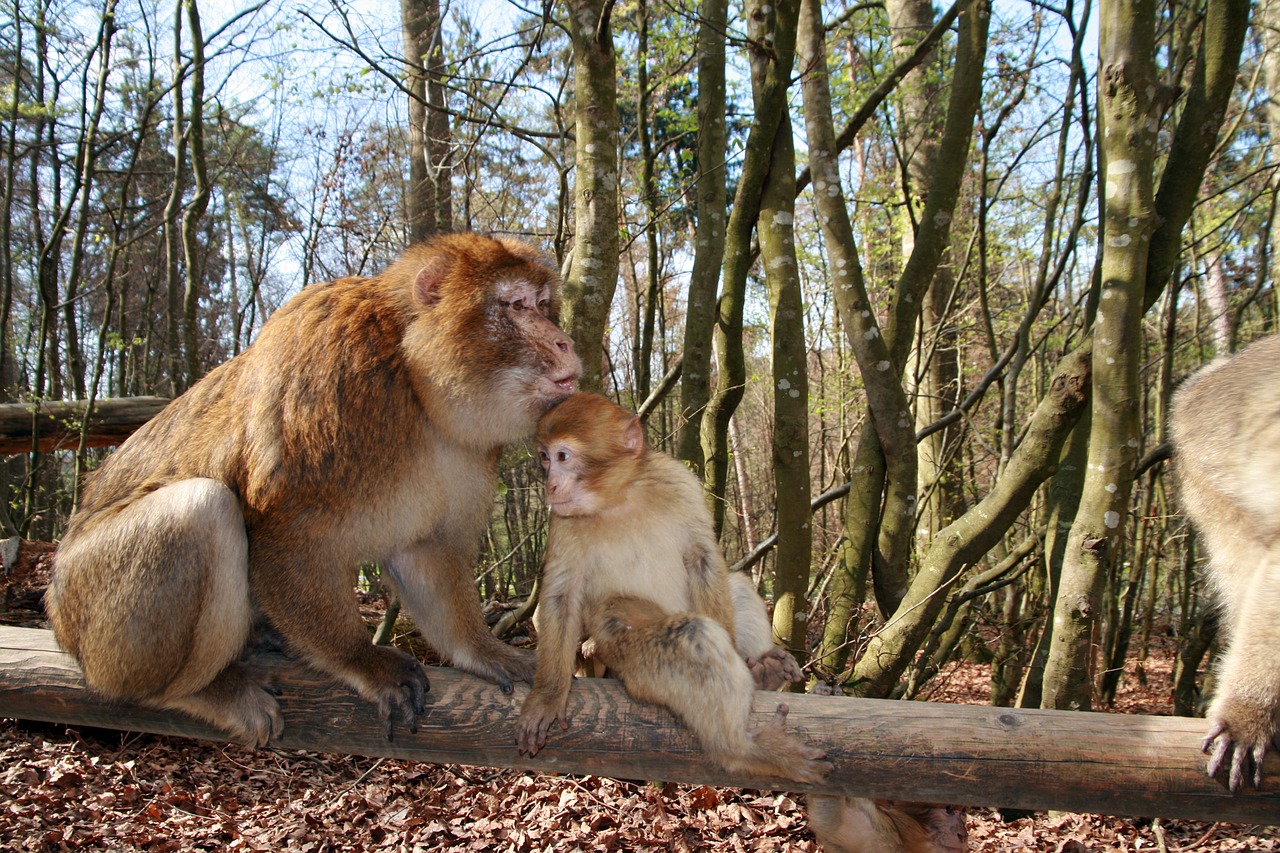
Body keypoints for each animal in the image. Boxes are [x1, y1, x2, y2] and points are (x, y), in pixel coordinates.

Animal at [47, 233, 583, 742]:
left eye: (542, 305)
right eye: (515, 305)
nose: (565, 342)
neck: (413, 378)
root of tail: (57, 613)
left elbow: (424, 553)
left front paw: (483, 651)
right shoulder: (330, 379)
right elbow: (288, 533)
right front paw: (362, 659)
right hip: (94, 616)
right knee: (201, 508)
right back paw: (193, 691)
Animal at [514, 389, 834, 778]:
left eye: (562, 456)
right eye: (544, 458)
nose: (550, 485)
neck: (620, 496)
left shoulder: (676, 480)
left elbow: (702, 558)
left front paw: (747, 660)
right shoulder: (562, 520)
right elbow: (562, 595)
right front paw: (548, 695)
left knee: (735, 587)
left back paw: (762, 671)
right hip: (628, 662)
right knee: (680, 633)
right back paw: (742, 750)